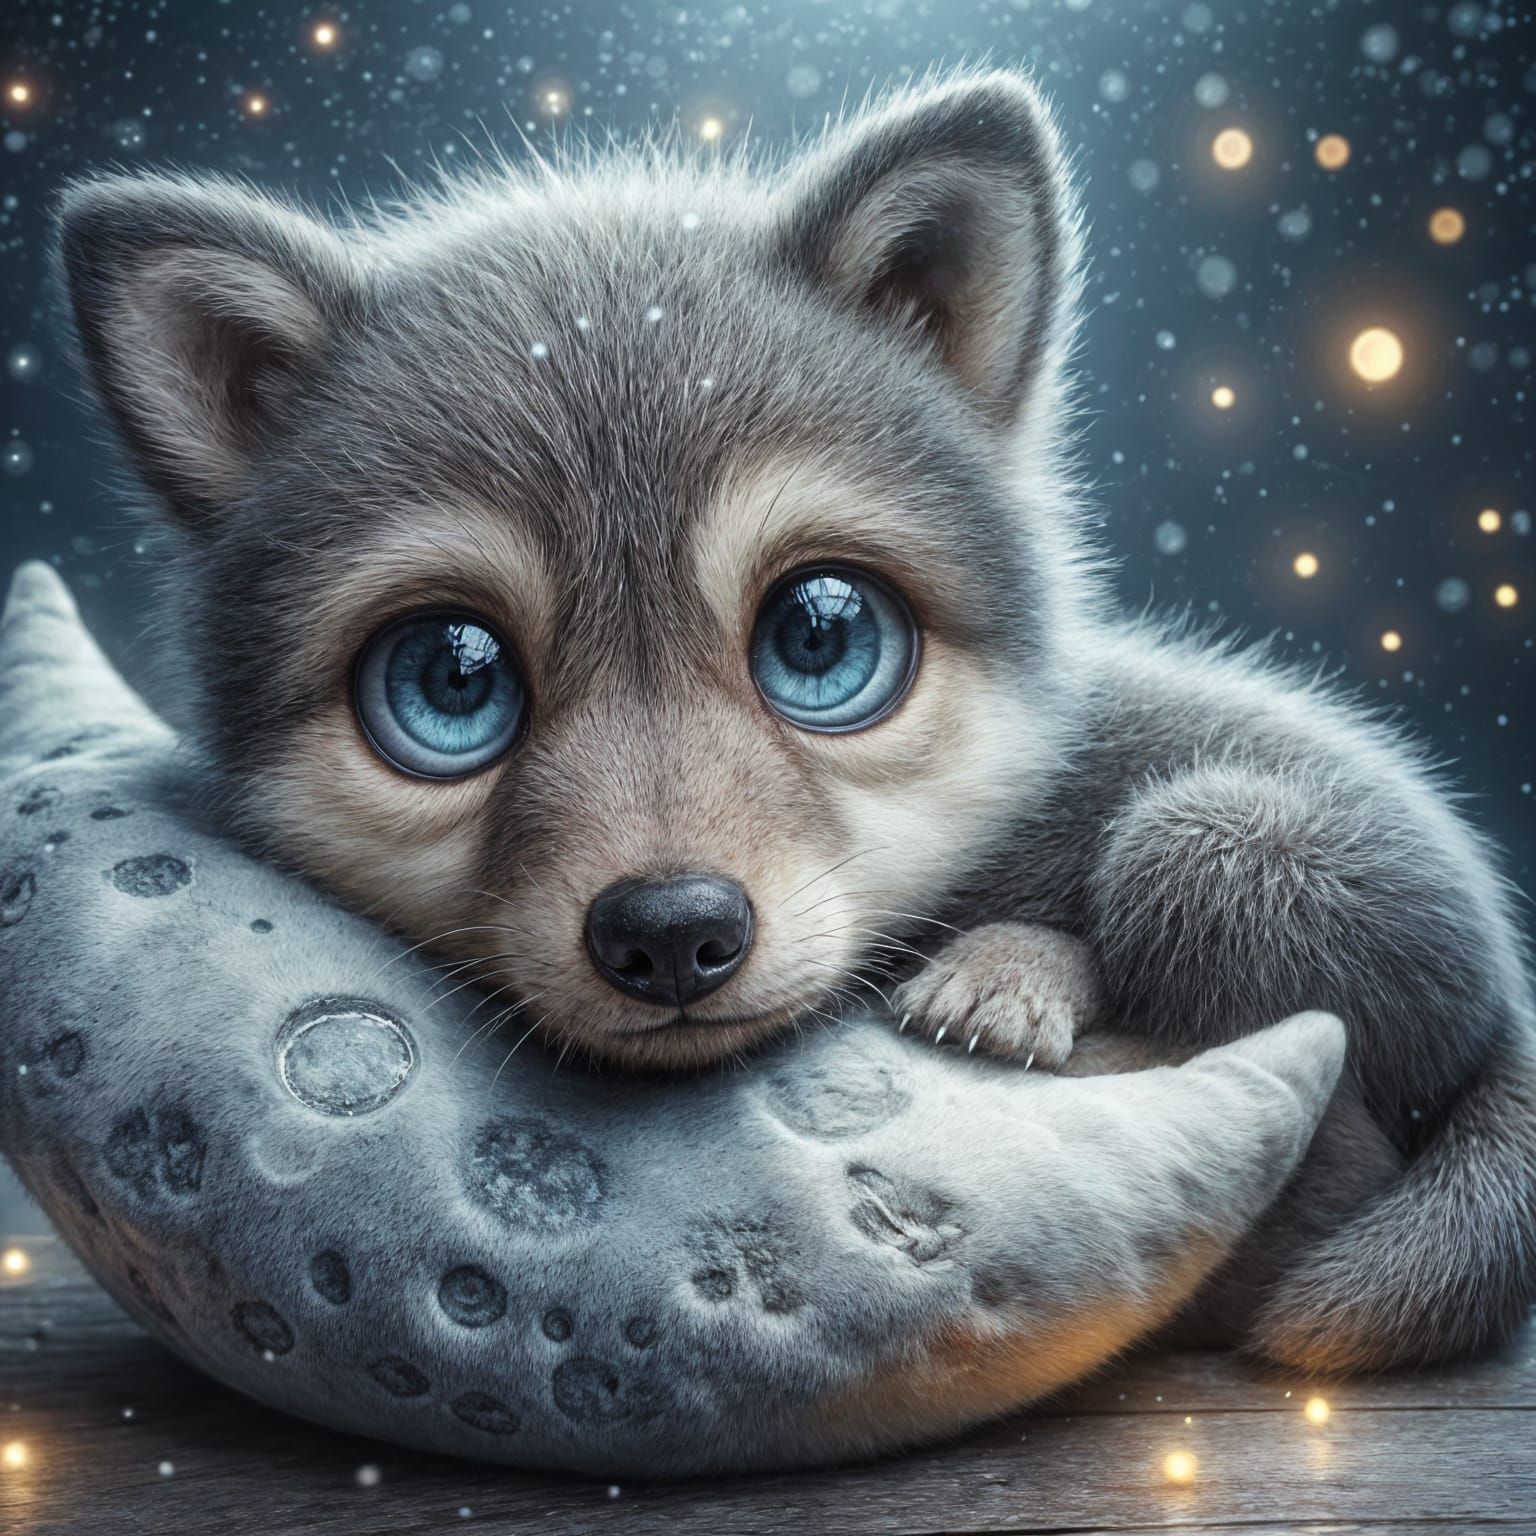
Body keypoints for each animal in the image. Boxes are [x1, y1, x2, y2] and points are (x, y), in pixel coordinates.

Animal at [55, 69, 1536, 1375]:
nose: (671, 933)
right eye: (451, 680)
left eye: (821, 638)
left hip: (1211, 839)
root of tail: (1505, 1008)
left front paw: (1008, 975)